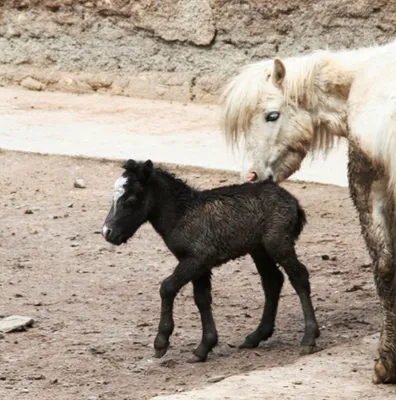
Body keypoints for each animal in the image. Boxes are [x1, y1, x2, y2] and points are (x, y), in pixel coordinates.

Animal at [101, 159, 318, 362]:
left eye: (130, 199)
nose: (107, 232)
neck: (182, 214)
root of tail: (292, 200)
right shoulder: (199, 266)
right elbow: (202, 298)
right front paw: (204, 347)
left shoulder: (197, 259)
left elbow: (167, 287)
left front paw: (161, 343)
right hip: (259, 249)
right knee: (272, 281)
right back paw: (256, 336)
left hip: (278, 242)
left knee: (299, 276)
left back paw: (309, 337)